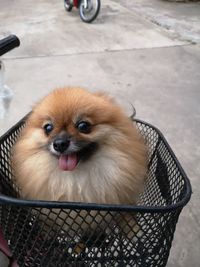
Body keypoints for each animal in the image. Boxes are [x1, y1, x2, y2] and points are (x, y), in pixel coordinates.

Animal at [12, 88, 147, 241]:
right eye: (48, 128)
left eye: (83, 126)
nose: (59, 144)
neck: (75, 180)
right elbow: (48, 221)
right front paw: (47, 233)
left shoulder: (122, 196)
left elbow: (125, 214)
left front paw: (134, 232)